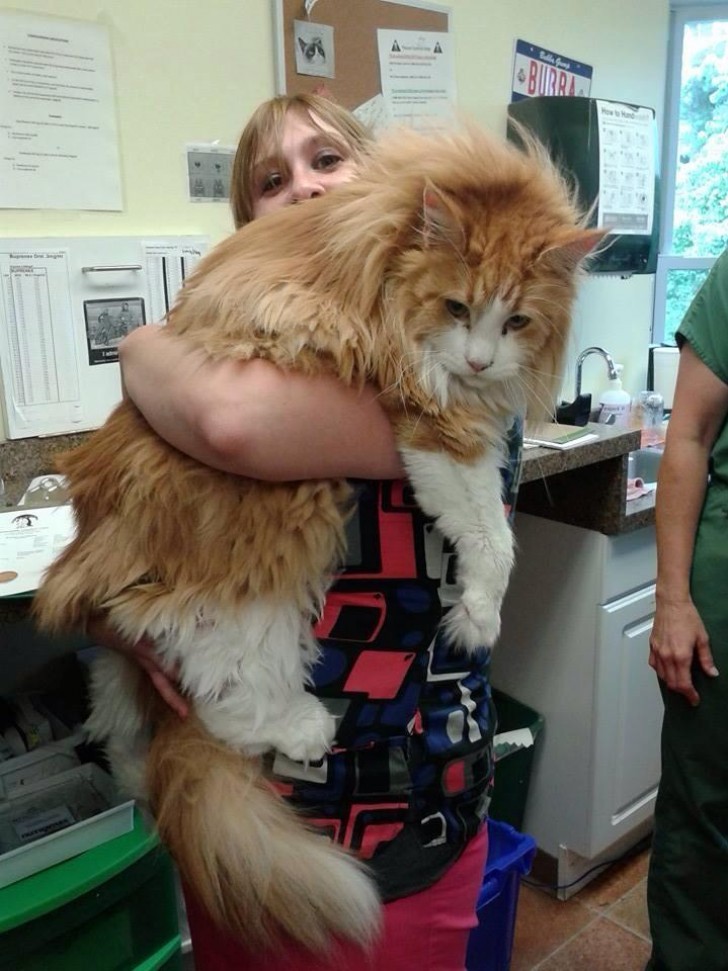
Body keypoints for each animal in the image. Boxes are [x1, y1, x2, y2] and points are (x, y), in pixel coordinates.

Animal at [32, 125, 604, 952]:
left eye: (518, 321)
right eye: (458, 305)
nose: (478, 358)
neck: (388, 240)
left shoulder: (460, 419)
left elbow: (491, 525)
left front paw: (474, 608)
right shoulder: (423, 412)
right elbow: (487, 532)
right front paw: (478, 614)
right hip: (280, 518)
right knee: (216, 678)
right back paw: (298, 726)